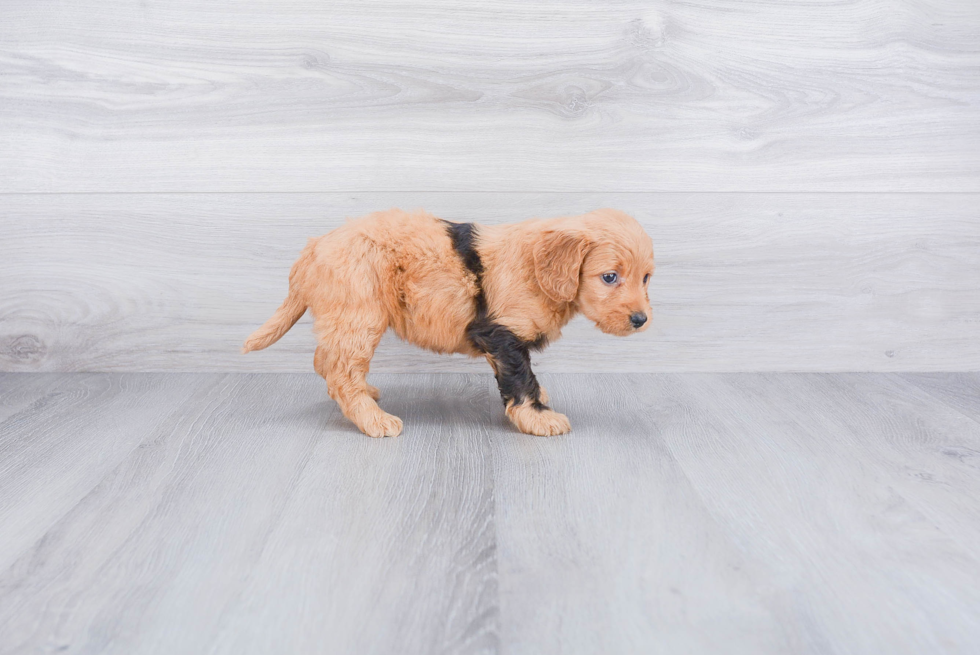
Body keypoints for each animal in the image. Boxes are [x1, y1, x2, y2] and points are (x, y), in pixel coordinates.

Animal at [244, 208, 656, 438]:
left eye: (646, 278)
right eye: (609, 277)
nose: (640, 320)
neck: (538, 270)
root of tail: (314, 248)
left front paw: (541, 401)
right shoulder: (502, 335)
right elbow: (521, 380)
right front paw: (538, 419)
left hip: (346, 318)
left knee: (326, 361)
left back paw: (367, 393)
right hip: (359, 315)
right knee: (340, 370)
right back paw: (373, 419)